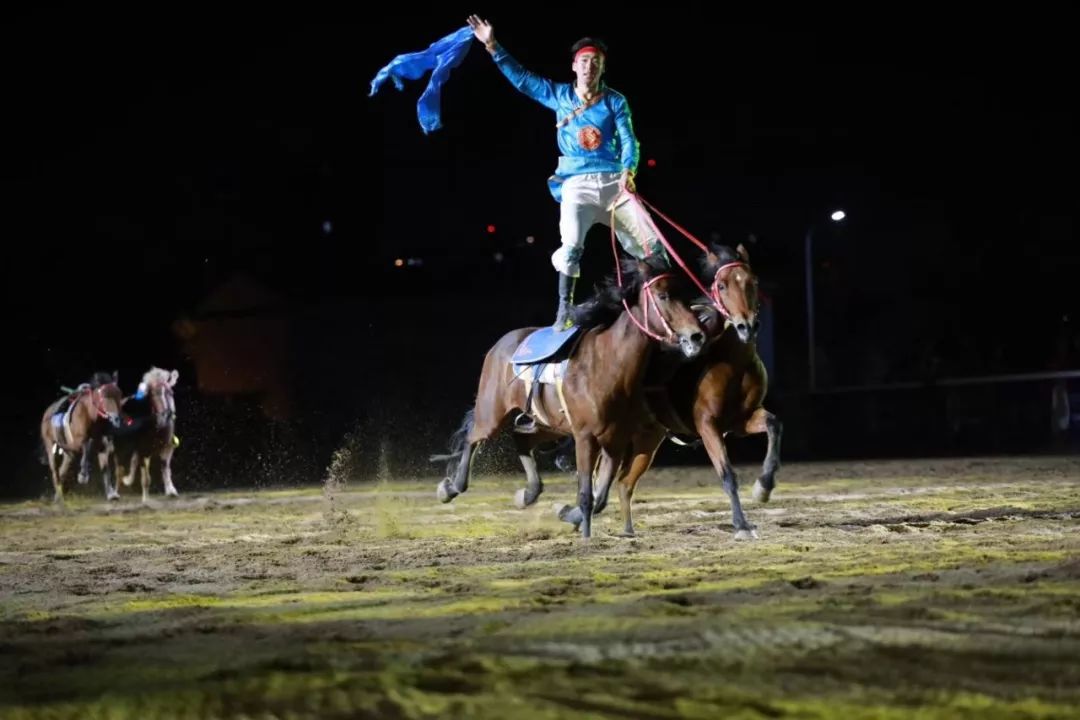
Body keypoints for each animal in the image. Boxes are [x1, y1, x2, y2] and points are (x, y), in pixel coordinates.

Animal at [39, 375, 124, 505]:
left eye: (119, 395)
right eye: (104, 397)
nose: (116, 419)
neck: (91, 415)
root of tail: (47, 412)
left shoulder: (102, 447)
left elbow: (105, 469)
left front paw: (111, 494)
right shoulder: (78, 443)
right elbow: (86, 447)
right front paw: (83, 475)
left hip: (67, 452)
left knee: (63, 469)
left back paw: (58, 496)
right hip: (50, 446)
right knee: (55, 471)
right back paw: (60, 496)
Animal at [115, 367, 179, 500]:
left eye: (170, 393)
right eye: (153, 395)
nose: (165, 416)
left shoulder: (167, 447)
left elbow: (165, 467)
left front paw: (171, 490)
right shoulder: (143, 450)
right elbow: (146, 478)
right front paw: (145, 499)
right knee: (119, 469)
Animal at [429, 255, 708, 537]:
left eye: (685, 294)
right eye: (663, 295)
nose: (696, 335)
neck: (608, 364)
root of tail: (501, 344)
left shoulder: (615, 439)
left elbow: (600, 496)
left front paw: (568, 514)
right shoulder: (585, 437)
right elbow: (586, 494)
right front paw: (585, 535)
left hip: (550, 424)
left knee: (521, 440)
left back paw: (528, 494)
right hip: (492, 413)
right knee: (472, 438)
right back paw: (450, 488)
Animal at [561, 243, 781, 539]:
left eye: (752, 282)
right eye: (722, 286)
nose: (746, 325)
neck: (733, 362)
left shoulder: (741, 420)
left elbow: (773, 424)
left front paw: (763, 487)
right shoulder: (707, 424)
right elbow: (727, 474)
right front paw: (742, 524)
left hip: (647, 439)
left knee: (623, 483)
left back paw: (623, 529)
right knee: (601, 483)